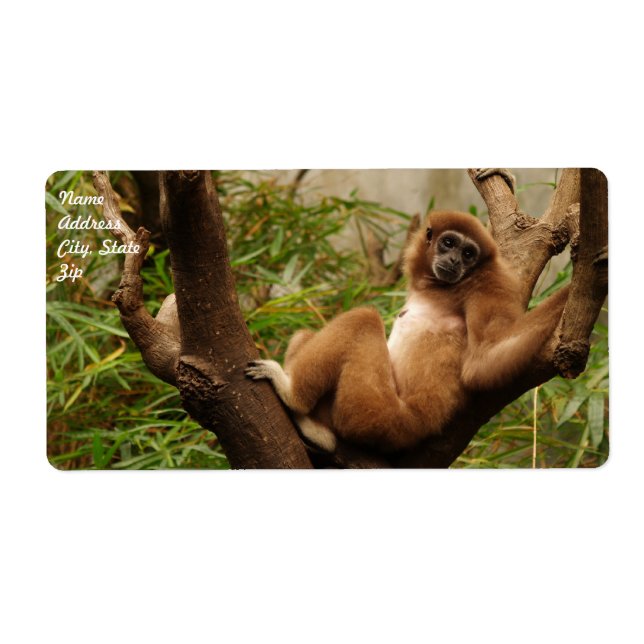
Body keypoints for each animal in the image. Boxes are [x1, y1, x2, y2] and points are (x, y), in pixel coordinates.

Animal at [246, 210, 569, 453]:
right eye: (448, 243)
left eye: (468, 253)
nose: (455, 260)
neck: (442, 288)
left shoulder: (490, 283)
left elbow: (484, 360)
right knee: (307, 335)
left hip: (375, 413)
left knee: (363, 319)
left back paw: (295, 400)